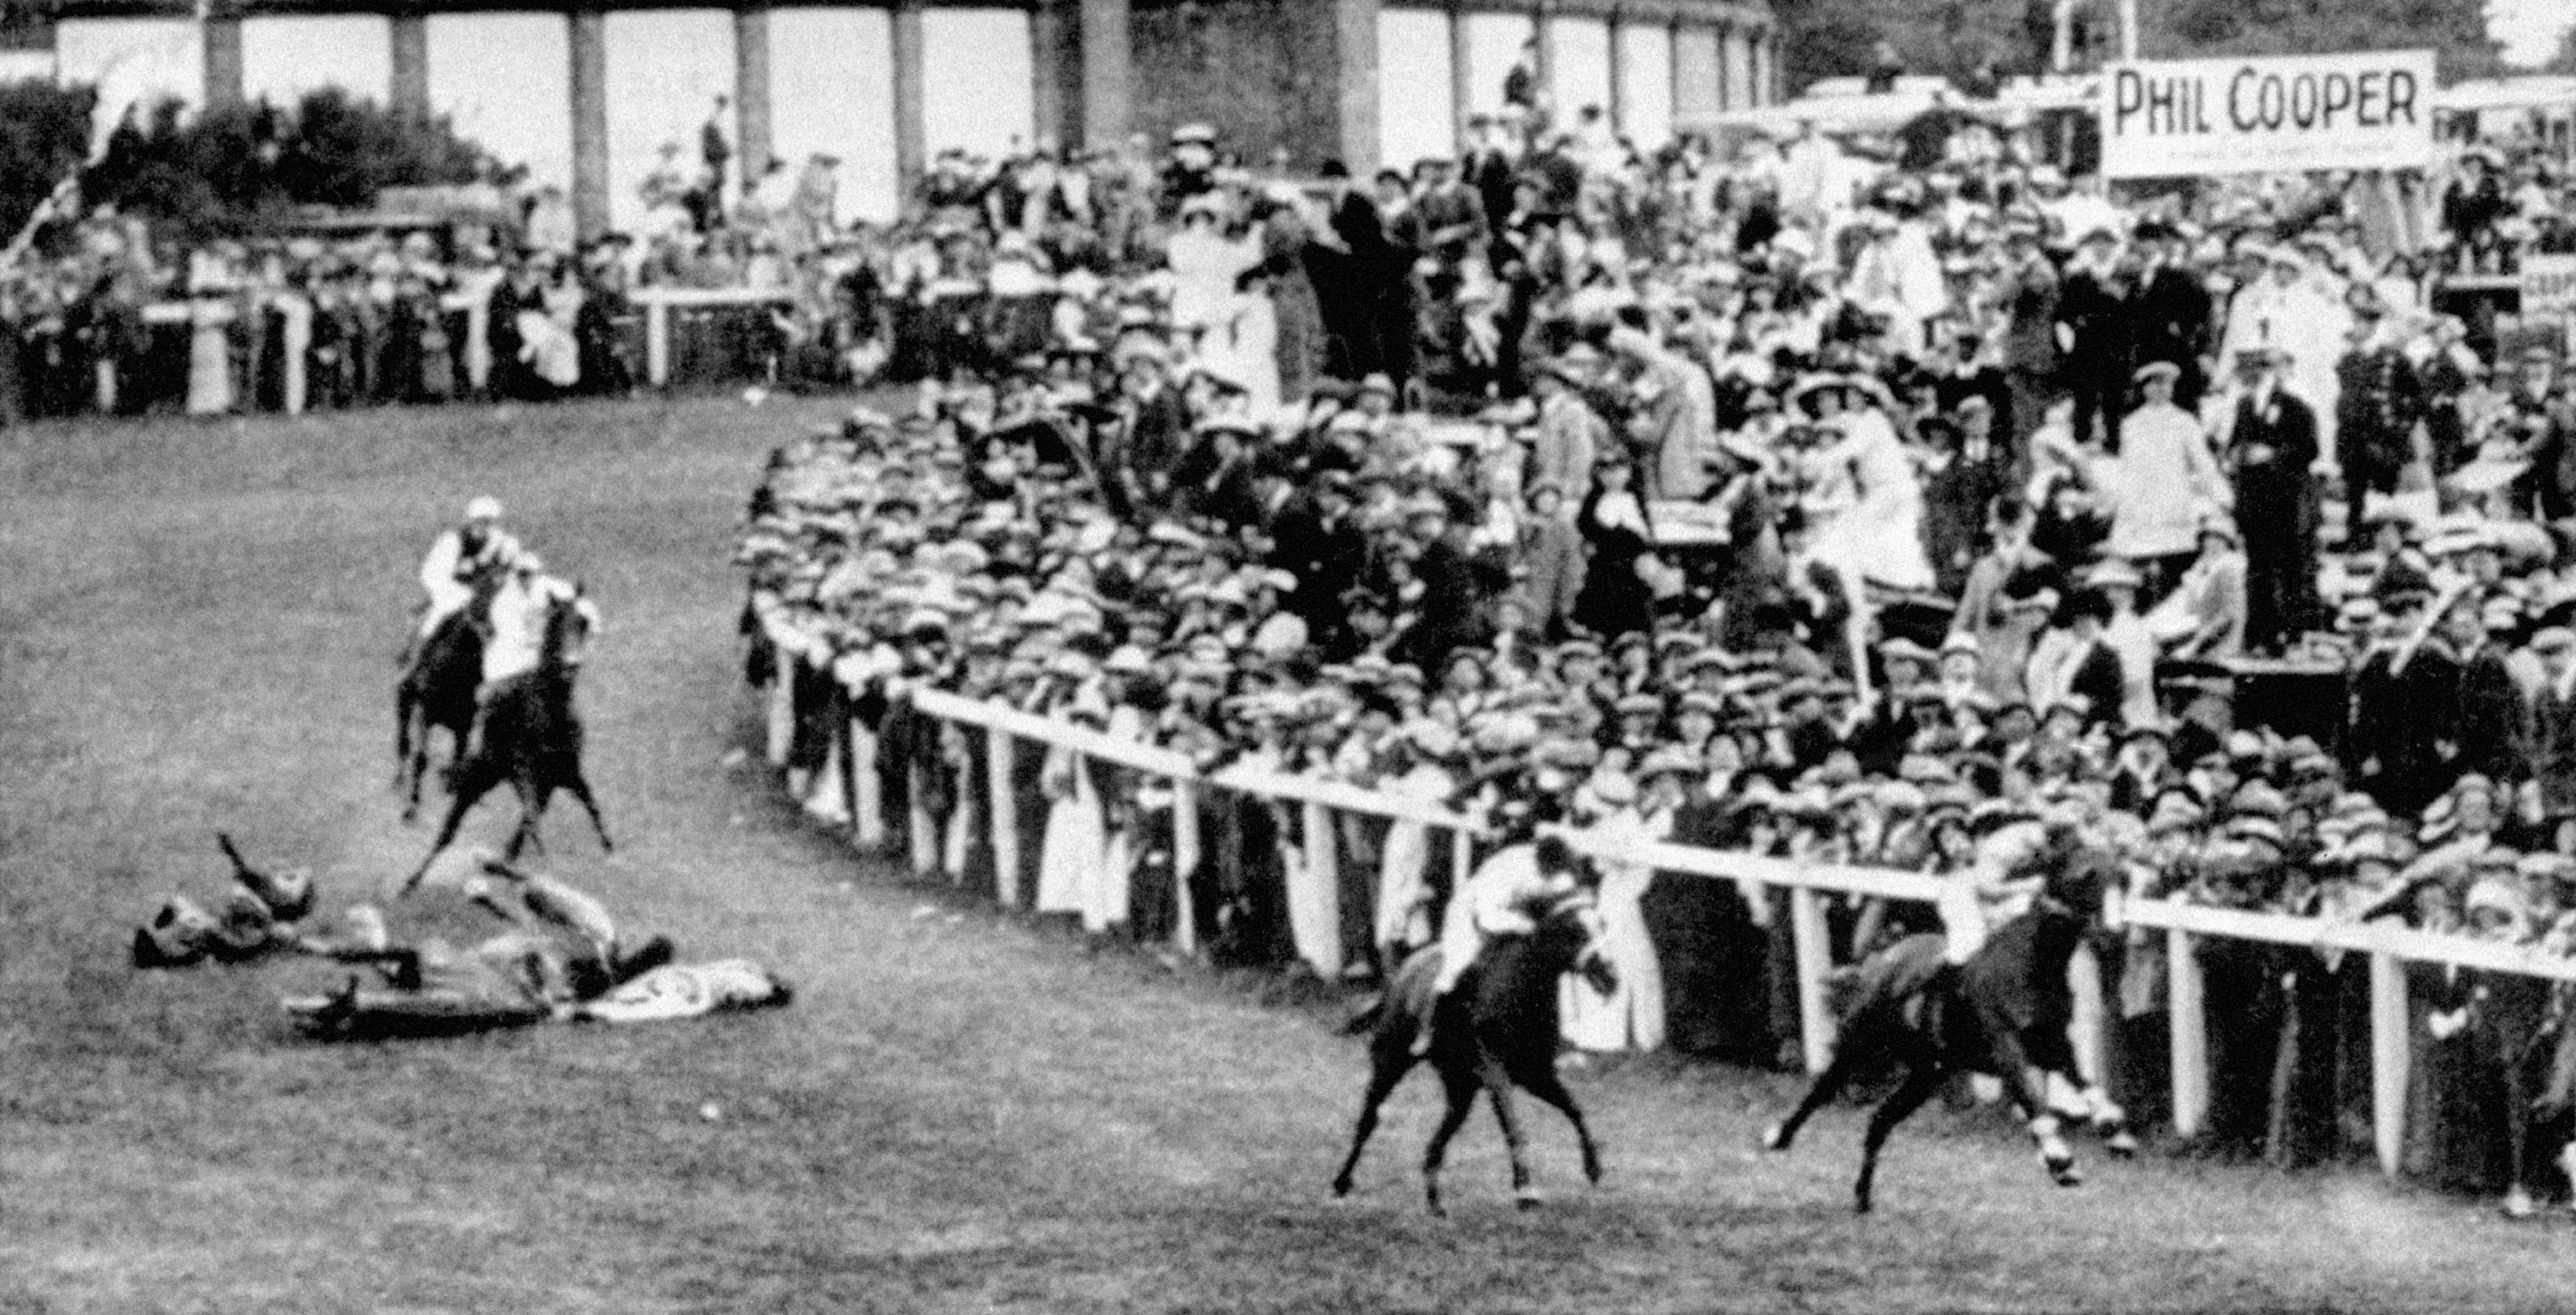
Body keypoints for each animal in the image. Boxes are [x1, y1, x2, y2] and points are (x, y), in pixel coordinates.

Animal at [397, 566, 507, 823]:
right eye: (478, 598)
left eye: (499, 603)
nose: (490, 631)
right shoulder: (425, 715)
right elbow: (421, 759)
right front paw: (411, 808)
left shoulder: (464, 725)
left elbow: (459, 760)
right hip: (406, 699)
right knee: (404, 739)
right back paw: (399, 779)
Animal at [407, 586, 618, 895]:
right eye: (555, 622)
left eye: (583, 622)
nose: (571, 664)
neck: (550, 713)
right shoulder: (524, 773)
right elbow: (533, 822)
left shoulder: (563, 773)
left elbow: (590, 807)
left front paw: (611, 852)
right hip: (480, 776)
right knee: (448, 830)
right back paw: (411, 881)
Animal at [1329, 870, 1607, 1219]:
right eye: (1573, 929)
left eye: (1602, 924)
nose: (1609, 973)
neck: (1522, 993)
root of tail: (1402, 971)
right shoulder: (1495, 1071)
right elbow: (1514, 1123)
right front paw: (1526, 1190)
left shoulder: (1535, 1073)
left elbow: (1574, 1109)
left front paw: (1593, 1168)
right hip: (1391, 1060)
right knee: (1369, 1118)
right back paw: (1340, 1183)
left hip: (1460, 1085)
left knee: (1438, 1140)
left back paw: (1436, 1203)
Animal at [1752, 844, 2133, 1214]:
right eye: (2086, 875)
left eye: (2123, 878)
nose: (2114, 933)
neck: (2033, 967)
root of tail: (1883, 958)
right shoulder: (2006, 1047)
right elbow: (2032, 1099)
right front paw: (2060, 1161)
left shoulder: (2054, 1047)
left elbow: (2087, 1084)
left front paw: (2115, 1133)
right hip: (1859, 1044)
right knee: (1821, 1090)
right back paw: (1779, 1137)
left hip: (1927, 1073)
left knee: (1880, 1120)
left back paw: (1862, 1196)